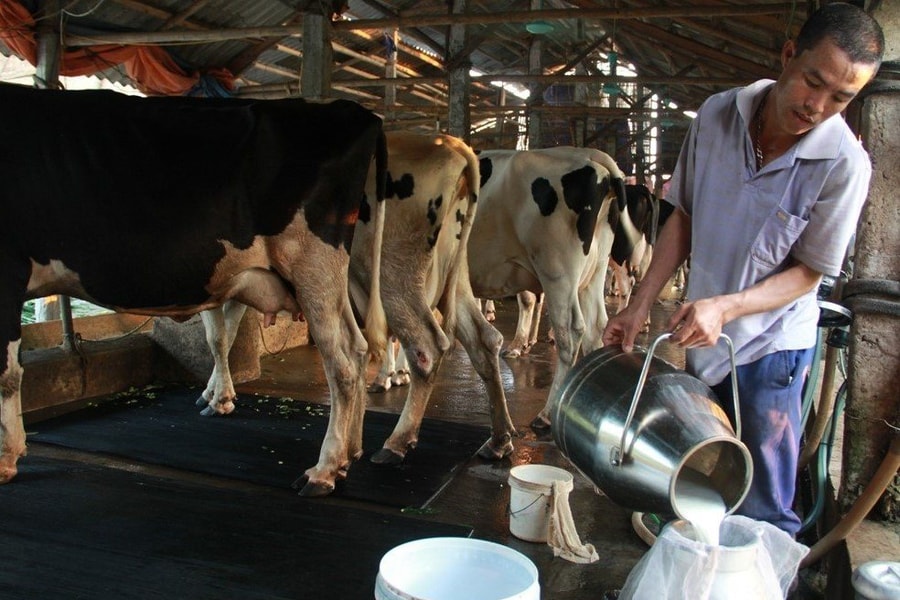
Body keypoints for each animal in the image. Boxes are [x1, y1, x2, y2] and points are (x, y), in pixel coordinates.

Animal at [0, 84, 386, 496]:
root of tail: (360, 113)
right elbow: (219, 338)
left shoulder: (6, 272)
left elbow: (7, 375)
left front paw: (7, 458)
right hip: (336, 279)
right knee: (358, 349)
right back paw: (350, 453)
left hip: (312, 266)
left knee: (341, 365)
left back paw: (324, 470)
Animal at [200, 130, 516, 468]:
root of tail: (450, 144)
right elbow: (228, 333)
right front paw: (216, 392)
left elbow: (217, 338)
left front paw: (217, 398)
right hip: (454, 278)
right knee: (484, 339)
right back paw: (498, 440)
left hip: (394, 277)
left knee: (426, 347)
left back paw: (396, 442)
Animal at [472, 146, 624, 428]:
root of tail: (590, 155)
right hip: (595, 270)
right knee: (596, 326)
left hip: (558, 272)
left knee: (570, 332)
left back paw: (547, 414)